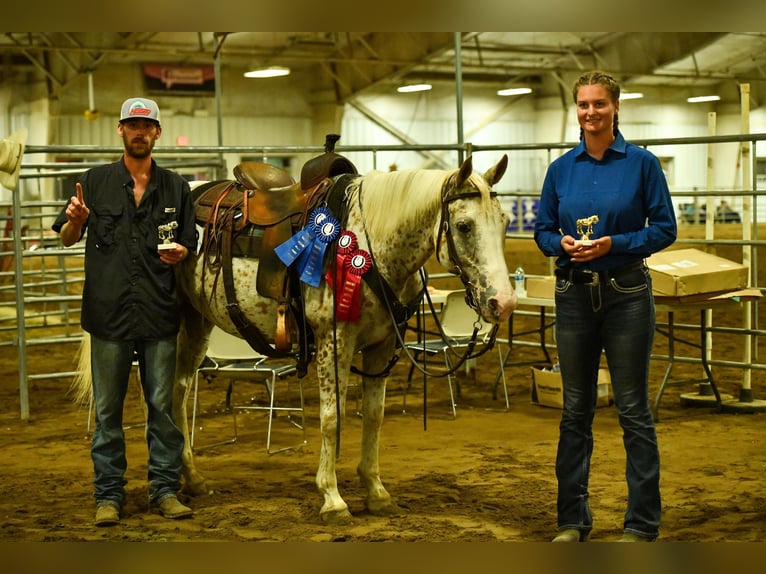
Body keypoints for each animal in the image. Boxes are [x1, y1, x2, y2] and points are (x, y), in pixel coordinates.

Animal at [73, 151, 516, 524]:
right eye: (464, 226)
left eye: (506, 223)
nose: (503, 301)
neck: (368, 241)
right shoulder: (334, 342)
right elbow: (332, 418)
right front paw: (333, 498)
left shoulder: (381, 347)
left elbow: (373, 417)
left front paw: (375, 491)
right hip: (177, 323)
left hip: (197, 324)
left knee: (177, 393)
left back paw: (193, 480)